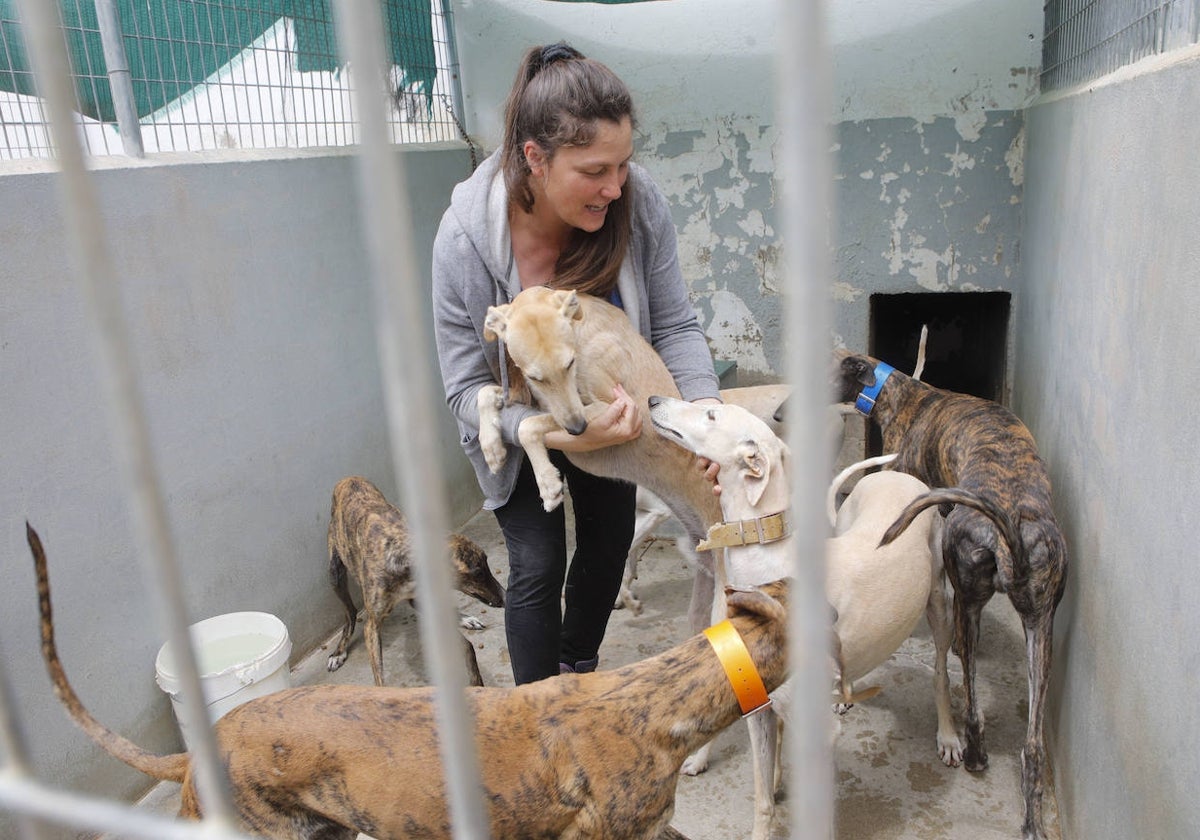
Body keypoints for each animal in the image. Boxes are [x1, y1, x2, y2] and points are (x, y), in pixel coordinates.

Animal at [326, 475, 504, 686]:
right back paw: (338, 651)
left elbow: (467, 645)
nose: (504, 597)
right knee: (351, 612)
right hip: (335, 573)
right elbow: (380, 679)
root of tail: (348, 479)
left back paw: (465, 618)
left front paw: (477, 682)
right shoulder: (372, 625)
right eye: (477, 572)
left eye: (486, 562)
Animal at [835, 350, 1070, 840]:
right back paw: (1030, 818)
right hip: (1041, 626)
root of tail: (1009, 534)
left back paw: (973, 752)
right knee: (1032, 744)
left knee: (972, 700)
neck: (902, 392)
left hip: (969, 597)